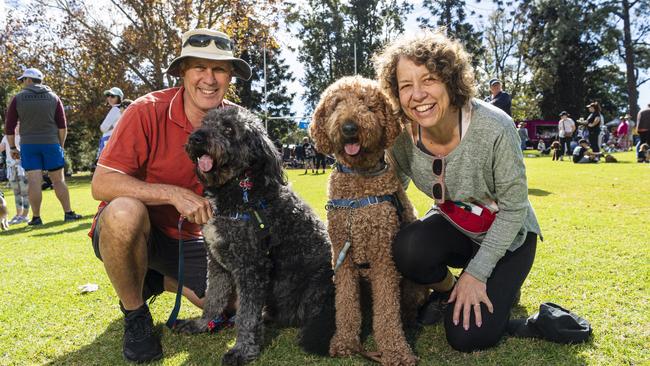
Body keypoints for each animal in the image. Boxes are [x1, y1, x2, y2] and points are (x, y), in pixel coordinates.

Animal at [180, 107, 336, 366]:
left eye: (228, 129)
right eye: (205, 122)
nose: (196, 138)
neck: (235, 192)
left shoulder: (252, 267)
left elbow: (247, 315)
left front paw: (242, 350)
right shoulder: (216, 263)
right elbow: (213, 297)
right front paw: (203, 324)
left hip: (319, 285)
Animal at [308, 76, 426, 364]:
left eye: (367, 104)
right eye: (337, 104)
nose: (349, 127)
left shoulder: (384, 256)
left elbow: (387, 312)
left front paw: (396, 350)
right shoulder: (342, 255)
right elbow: (345, 305)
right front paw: (345, 343)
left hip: (413, 285)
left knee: (406, 307)